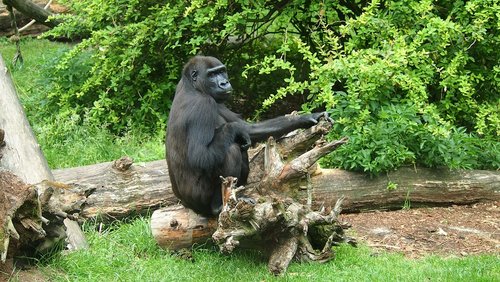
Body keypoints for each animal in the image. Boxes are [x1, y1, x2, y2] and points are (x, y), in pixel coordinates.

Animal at [166, 56, 326, 216]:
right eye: (211, 75)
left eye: (221, 71)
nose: (224, 83)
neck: (193, 86)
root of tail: (185, 203)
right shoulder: (203, 104)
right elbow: (200, 156)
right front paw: (234, 128)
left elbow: (249, 129)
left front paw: (307, 118)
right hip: (198, 200)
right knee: (231, 149)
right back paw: (218, 205)